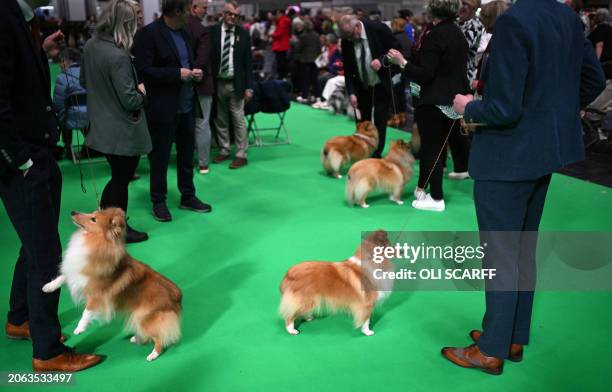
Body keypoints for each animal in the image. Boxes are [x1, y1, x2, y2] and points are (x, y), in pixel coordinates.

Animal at [43, 208, 182, 362]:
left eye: (93, 219)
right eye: (92, 213)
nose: (73, 212)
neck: (94, 242)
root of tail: (176, 297)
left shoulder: (97, 295)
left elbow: (87, 311)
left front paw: (80, 328)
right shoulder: (78, 273)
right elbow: (63, 277)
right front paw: (48, 287)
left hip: (145, 317)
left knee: (159, 337)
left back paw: (153, 354)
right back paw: (137, 339)